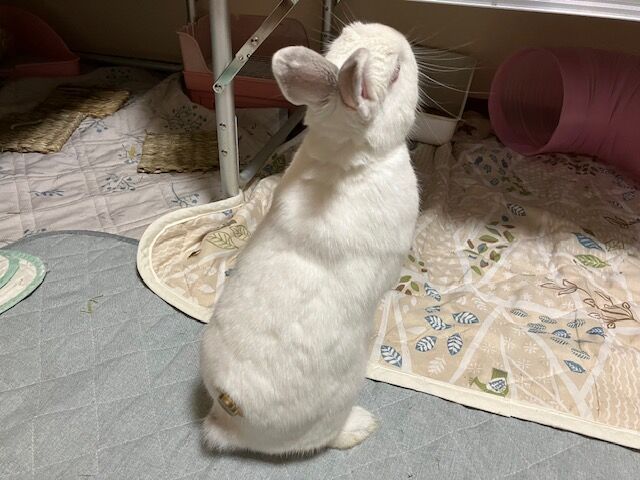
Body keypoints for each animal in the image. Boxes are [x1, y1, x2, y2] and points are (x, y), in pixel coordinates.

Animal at [200, 21, 420, 455]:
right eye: (397, 73)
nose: (402, 38)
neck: (346, 156)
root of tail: (230, 411)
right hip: (332, 407)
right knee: (325, 439)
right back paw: (361, 427)